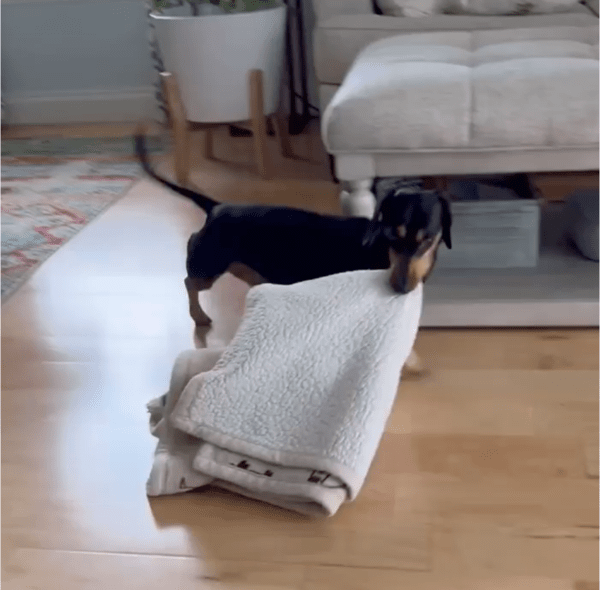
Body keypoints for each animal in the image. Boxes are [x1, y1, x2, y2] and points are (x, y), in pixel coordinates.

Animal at [135, 134, 452, 373]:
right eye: (392, 236)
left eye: (427, 240)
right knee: (190, 280)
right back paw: (199, 315)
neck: (383, 253)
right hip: (210, 265)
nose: (402, 288)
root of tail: (216, 207)